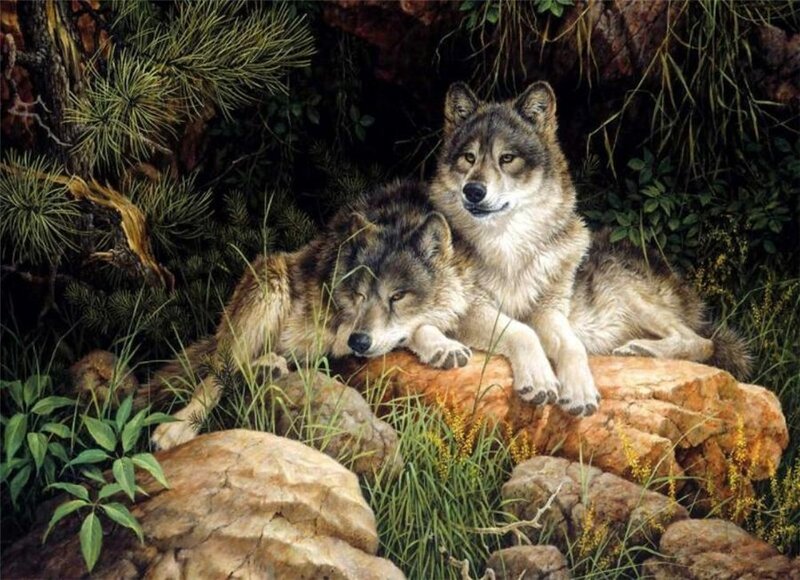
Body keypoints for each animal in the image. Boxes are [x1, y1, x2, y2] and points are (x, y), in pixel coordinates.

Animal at [148, 180, 477, 450]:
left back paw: (267, 369)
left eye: (397, 296)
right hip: (269, 281)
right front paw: (443, 347)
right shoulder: (340, 330)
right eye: (359, 295)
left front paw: (443, 345)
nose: (359, 342)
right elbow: (415, 328)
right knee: (218, 374)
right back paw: (175, 430)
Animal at [429, 81, 751, 416]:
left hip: (626, 290)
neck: (509, 248)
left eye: (507, 158)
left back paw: (639, 349)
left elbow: (572, 345)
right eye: (468, 157)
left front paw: (580, 393)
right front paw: (541, 381)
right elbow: (521, 331)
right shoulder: (469, 309)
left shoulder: (551, 310)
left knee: (701, 341)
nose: (473, 191)